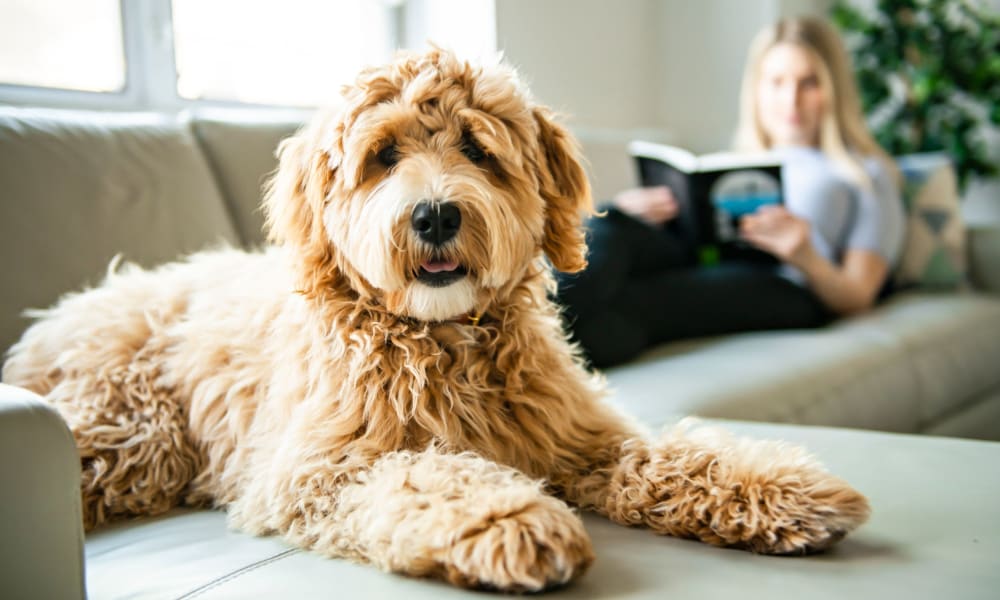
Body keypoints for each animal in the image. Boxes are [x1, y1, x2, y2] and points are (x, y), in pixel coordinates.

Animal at [1, 50, 868, 592]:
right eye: (383, 155)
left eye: (478, 150)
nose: (436, 214)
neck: (443, 340)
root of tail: (65, 311)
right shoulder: (318, 470)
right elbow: (428, 473)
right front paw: (510, 518)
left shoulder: (580, 436)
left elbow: (670, 455)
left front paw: (780, 487)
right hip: (130, 434)